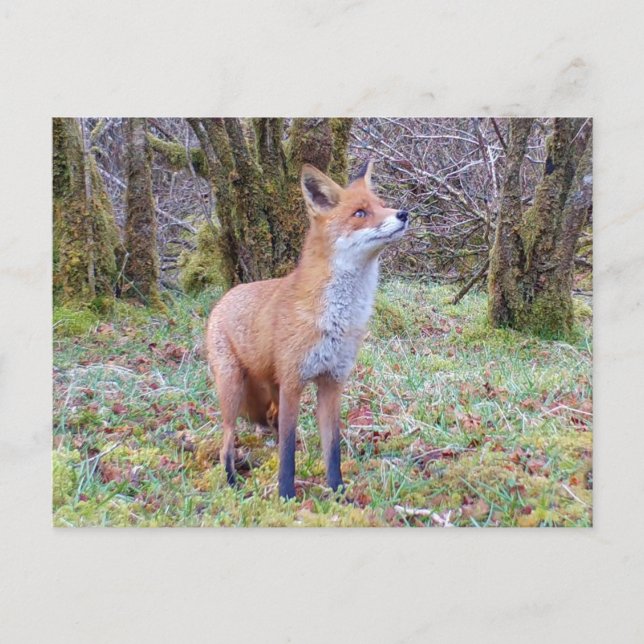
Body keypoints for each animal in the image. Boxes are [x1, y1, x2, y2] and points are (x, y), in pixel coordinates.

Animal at [205, 160, 409, 499]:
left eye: (383, 205)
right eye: (360, 213)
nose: (403, 213)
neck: (337, 320)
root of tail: (224, 297)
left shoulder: (332, 383)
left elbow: (332, 450)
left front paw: (338, 494)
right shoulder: (293, 382)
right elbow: (288, 453)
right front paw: (286, 495)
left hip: (269, 389)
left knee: (270, 423)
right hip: (233, 388)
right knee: (227, 441)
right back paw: (232, 480)